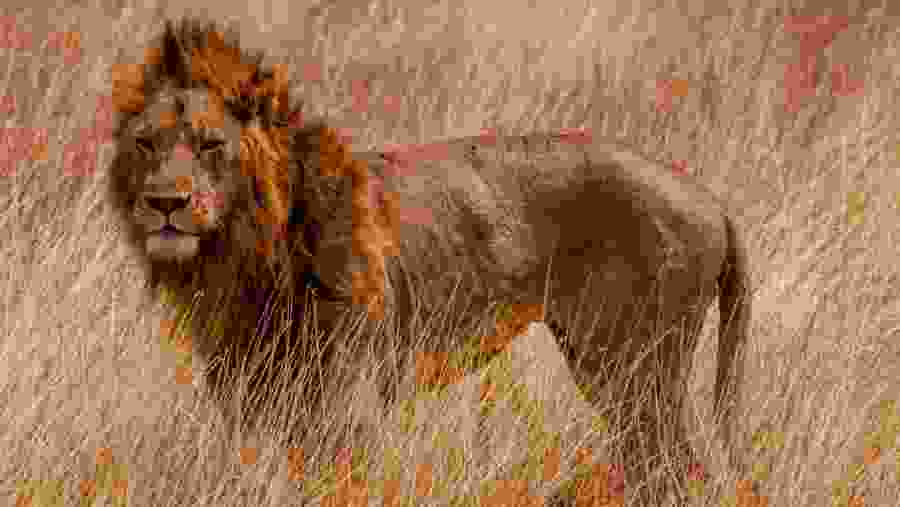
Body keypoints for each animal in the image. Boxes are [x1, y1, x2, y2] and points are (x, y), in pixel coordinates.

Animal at [107, 17, 750, 500]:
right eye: (146, 143)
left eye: (210, 145)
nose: (165, 203)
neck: (244, 258)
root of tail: (713, 201)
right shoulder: (252, 402)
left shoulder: (347, 405)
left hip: (633, 369)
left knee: (675, 469)